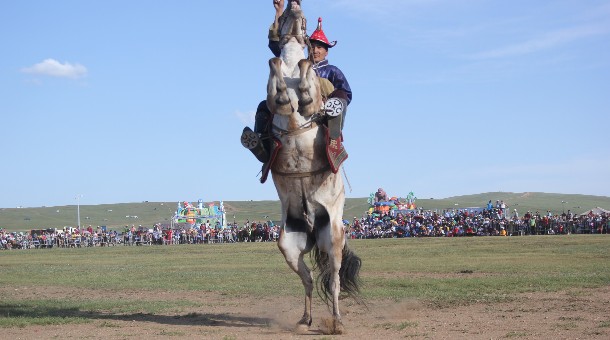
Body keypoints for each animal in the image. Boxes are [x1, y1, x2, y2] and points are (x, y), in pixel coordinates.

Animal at [264, 0, 358, 334]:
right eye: (286, 15)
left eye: (304, 21)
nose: (293, 4)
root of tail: (310, 224)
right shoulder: (273, 92)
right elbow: (273, 63)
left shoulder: (312, 95)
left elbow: (306, 80)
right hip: (288, 246)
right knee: (307, 279)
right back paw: (305, 319)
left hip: (333, 240)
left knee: (333, 281)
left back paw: (337, 322)